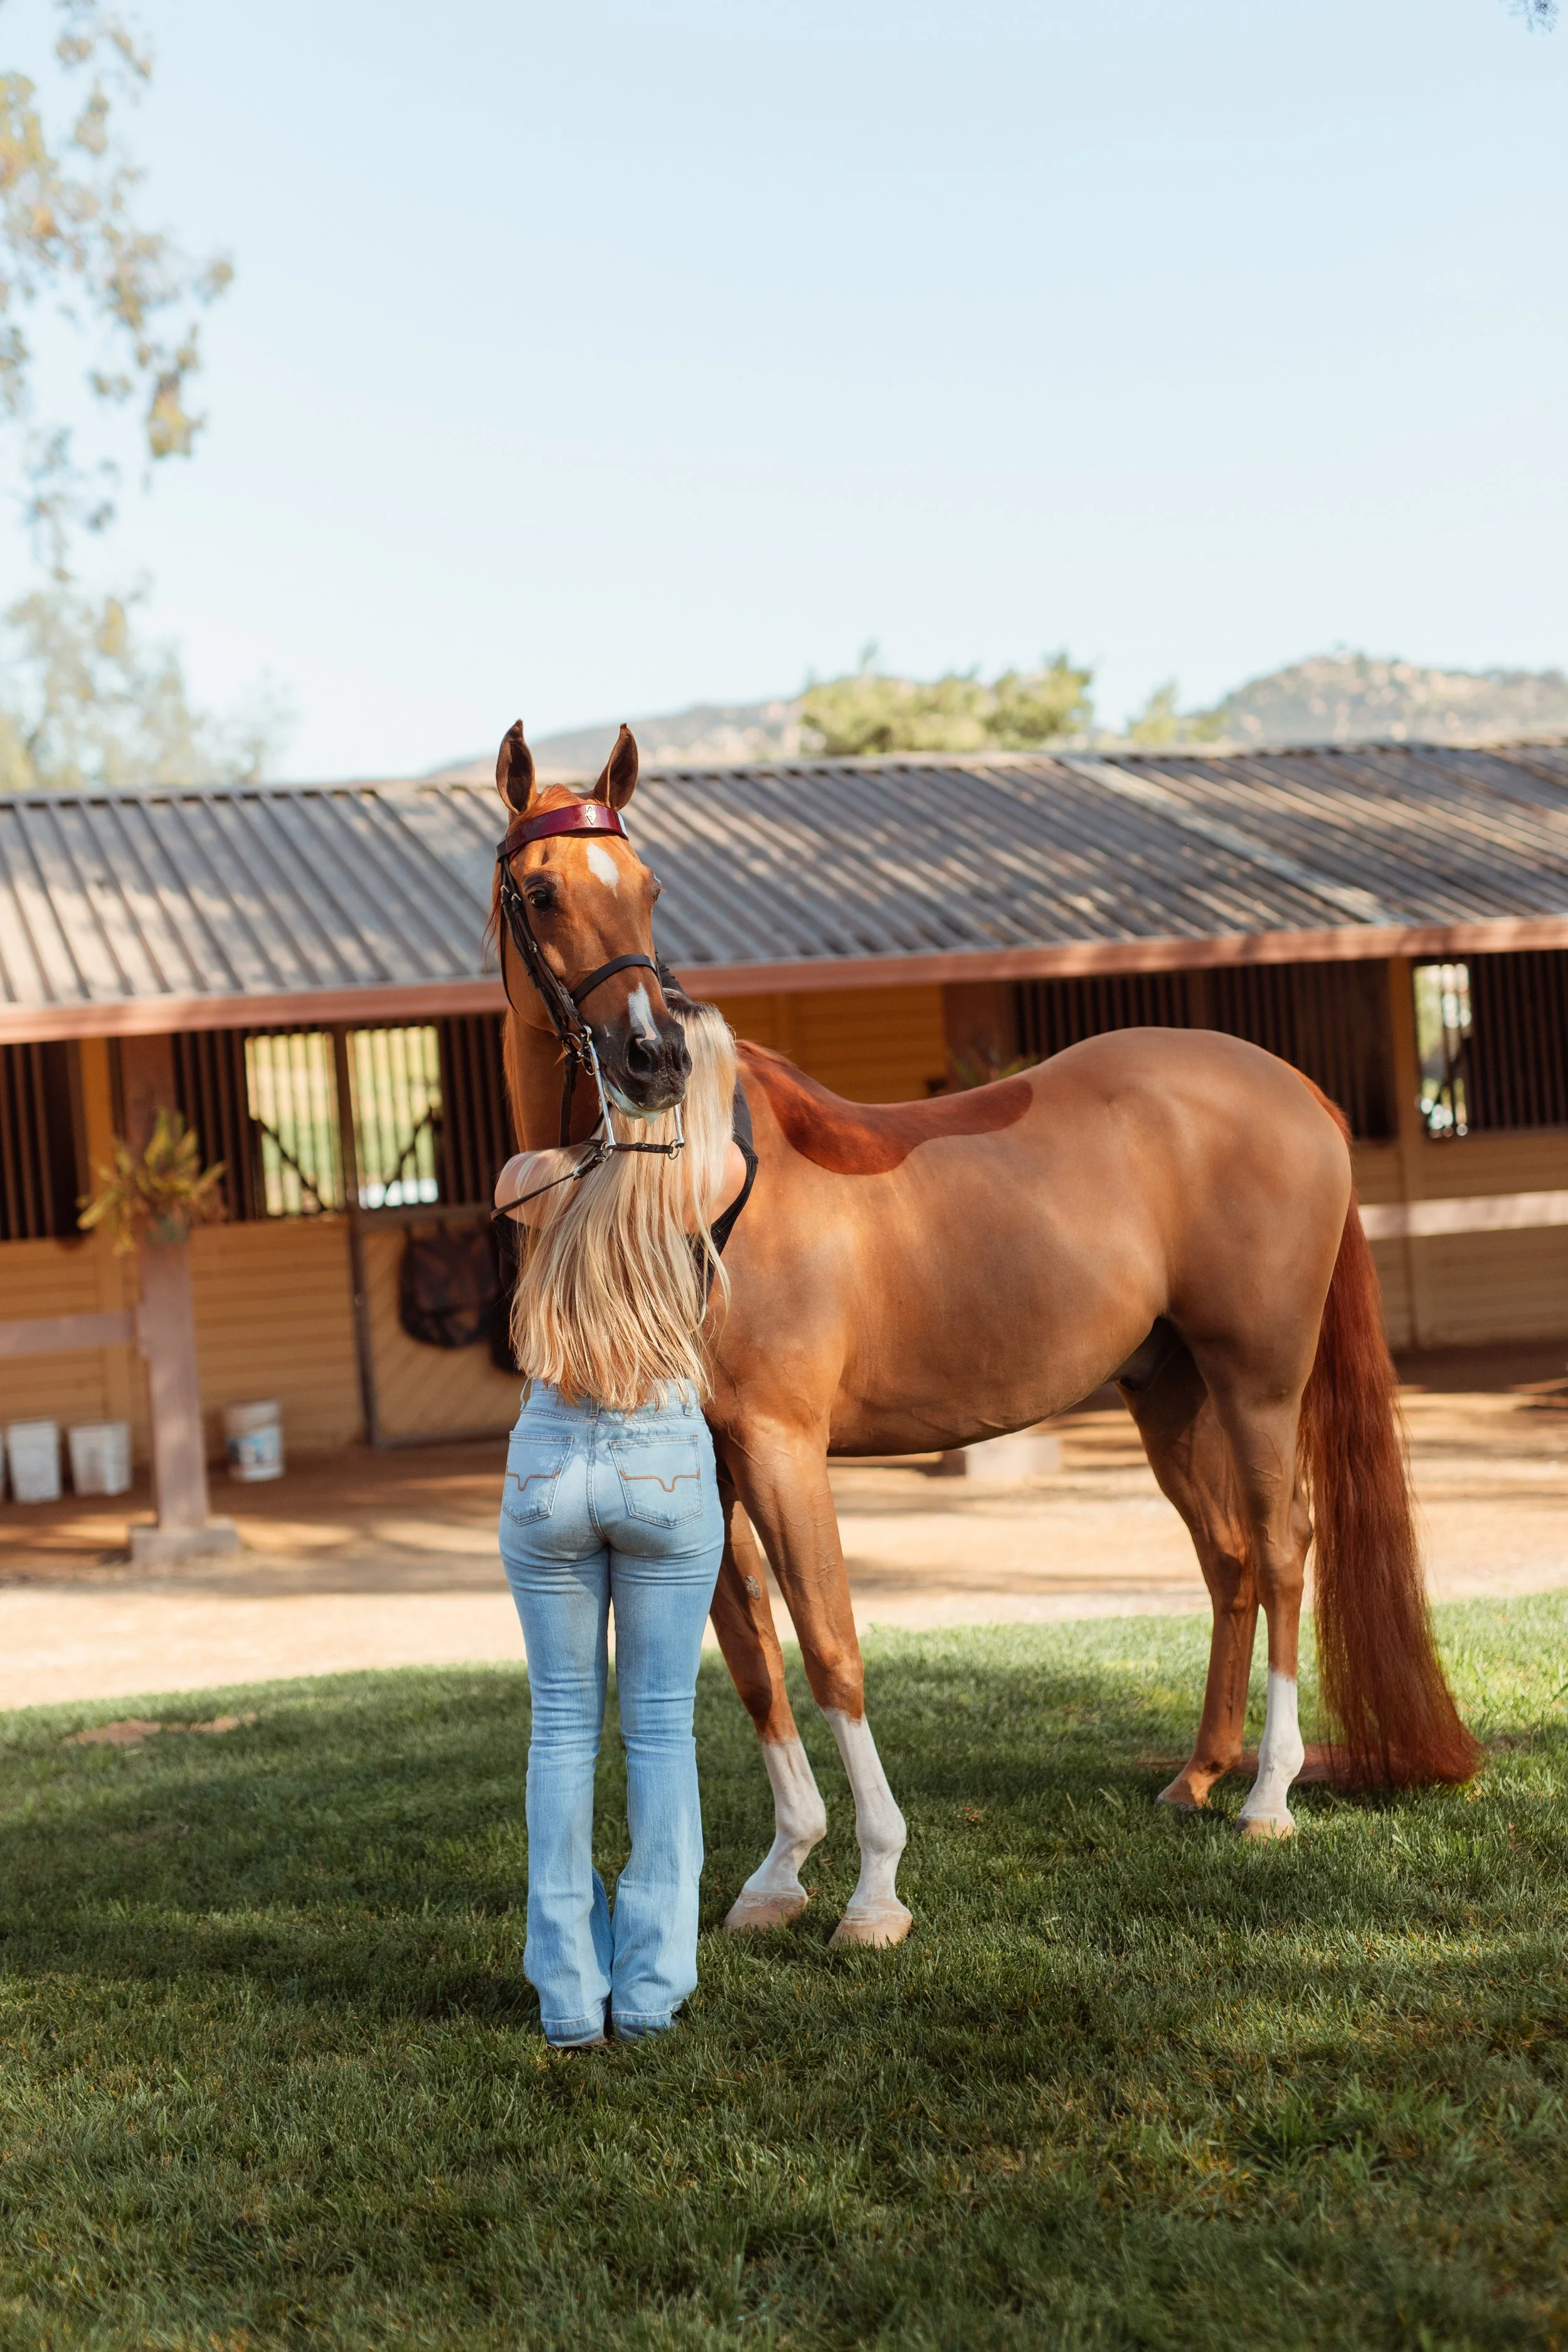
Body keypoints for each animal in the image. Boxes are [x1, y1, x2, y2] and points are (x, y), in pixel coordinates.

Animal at [488, 720, 1480, 1947]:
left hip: (1259, 1383)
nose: (651, 1057)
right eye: (541, 890)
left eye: (650, 889)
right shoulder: (701, 1460)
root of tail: (1296, 1089)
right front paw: (779, 1872)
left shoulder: (780, 1446)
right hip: (1167, 1391)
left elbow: (831, 1645)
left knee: (1285, 1548)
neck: (693, 1190)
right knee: (1230, 1560)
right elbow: (753, 1651)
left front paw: (874, 1887)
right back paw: (1198, 1776)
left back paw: (1269, 1799)